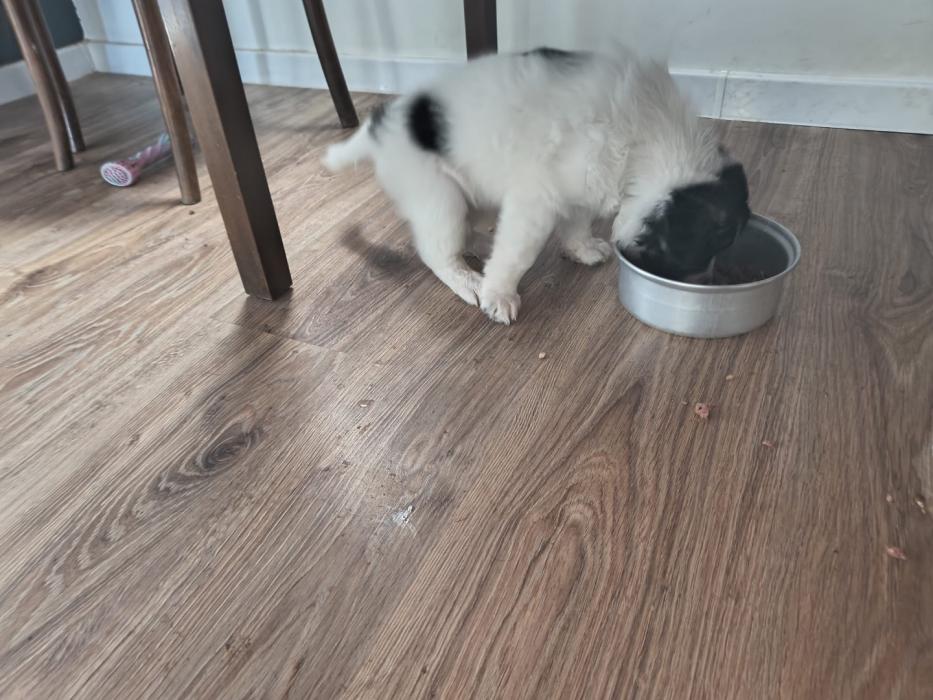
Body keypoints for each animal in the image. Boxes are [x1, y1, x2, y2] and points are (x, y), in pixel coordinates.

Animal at [324, 46, 750, 324]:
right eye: (702, 250)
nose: (707, 283)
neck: (646, 138)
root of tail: (381, 127)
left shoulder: (581, 185)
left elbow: (576, 223)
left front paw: (582, 249)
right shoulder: (537, 200)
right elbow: (518, 253)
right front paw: (498, 296)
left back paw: (478, 247)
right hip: (436, 196)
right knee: (436, 250)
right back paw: (468, 280)